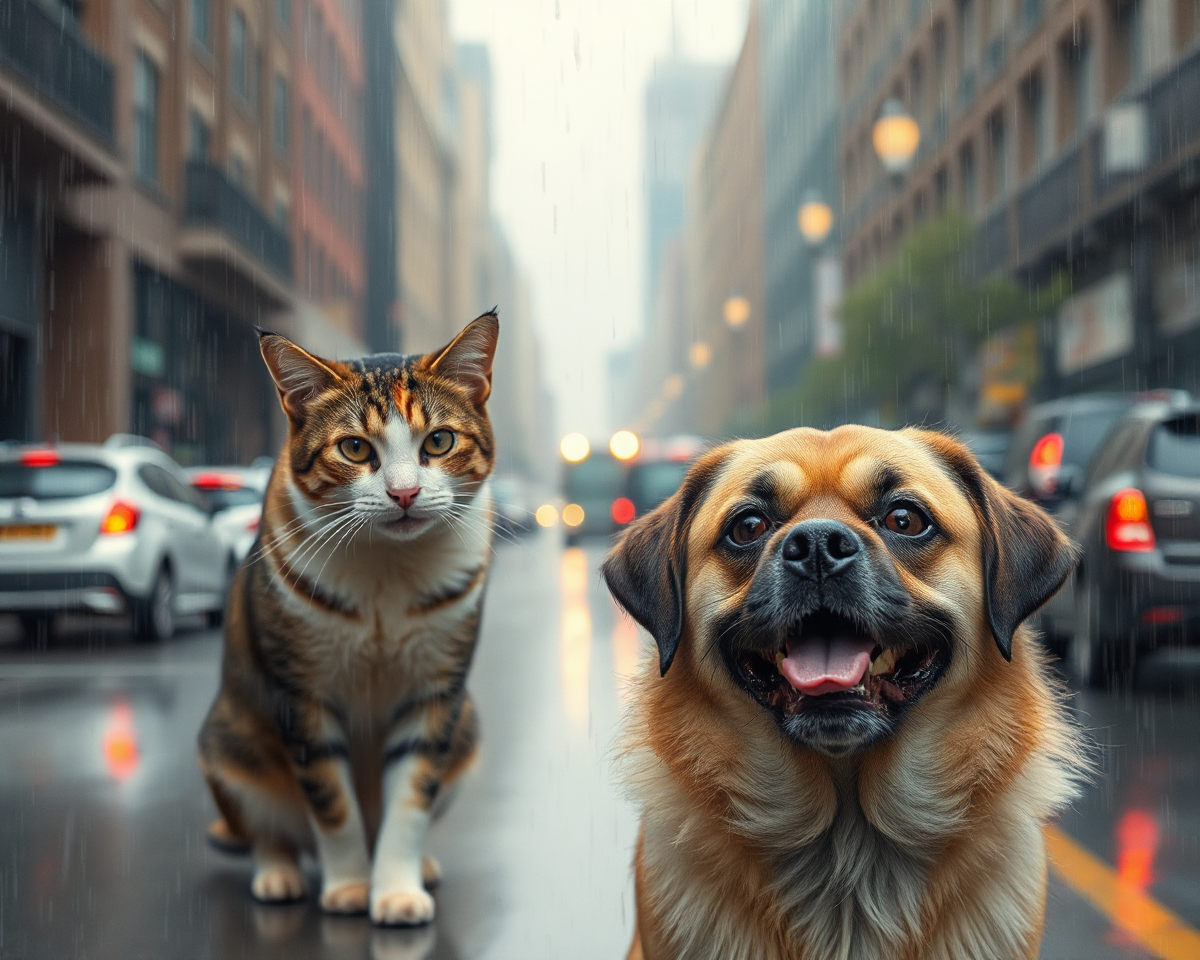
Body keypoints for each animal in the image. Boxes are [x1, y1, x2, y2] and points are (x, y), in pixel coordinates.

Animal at [199, 312, 499, 921]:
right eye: (355, 448)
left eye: (439, 440)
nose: (404, 493)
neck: (387, 570)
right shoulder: (300, 694)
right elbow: (331, 804)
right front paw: (350, 887)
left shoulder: (437, 692)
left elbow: (412, 798)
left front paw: (397, 890)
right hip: (229, 739)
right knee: (268, 828)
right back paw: (279, 873)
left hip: (468, 728)